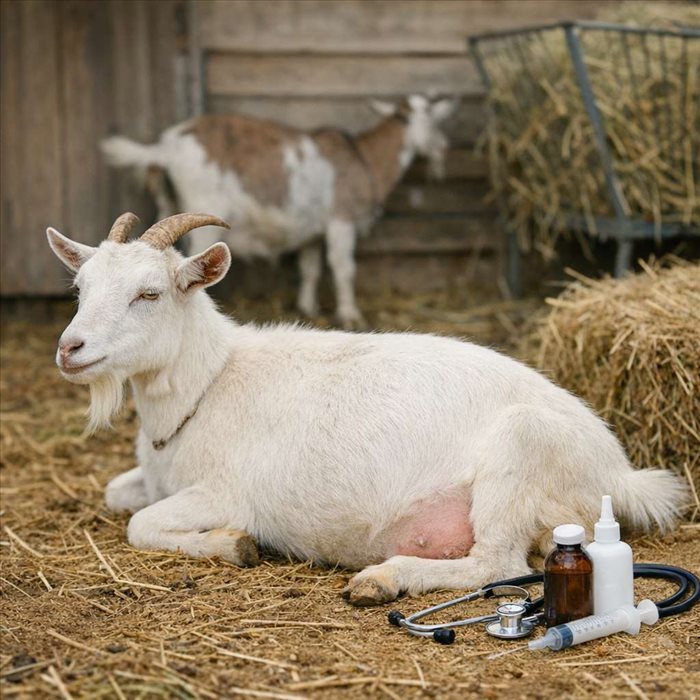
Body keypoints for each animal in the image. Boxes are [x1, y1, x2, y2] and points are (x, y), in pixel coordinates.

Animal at [47, 213, 688, 605]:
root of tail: (619, 473)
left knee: (497, 564)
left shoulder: (228, 493)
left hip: (519, 452)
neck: (208, 385)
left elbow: (140, 525)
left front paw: (235, 545)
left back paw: (382, 578)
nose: (69, 348)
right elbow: (117, 496)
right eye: (80, 289)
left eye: (149, 294)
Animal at [100, 95, 455, 330]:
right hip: (202, 205)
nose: (442, 147)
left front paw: (308, 307)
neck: (362, 158)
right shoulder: (340, 219)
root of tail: (165, 149)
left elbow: (311, 267)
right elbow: (343, 268)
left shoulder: (312, 231)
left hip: (168, 203)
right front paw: (351, 315)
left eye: (434, 117)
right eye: (418, 119)